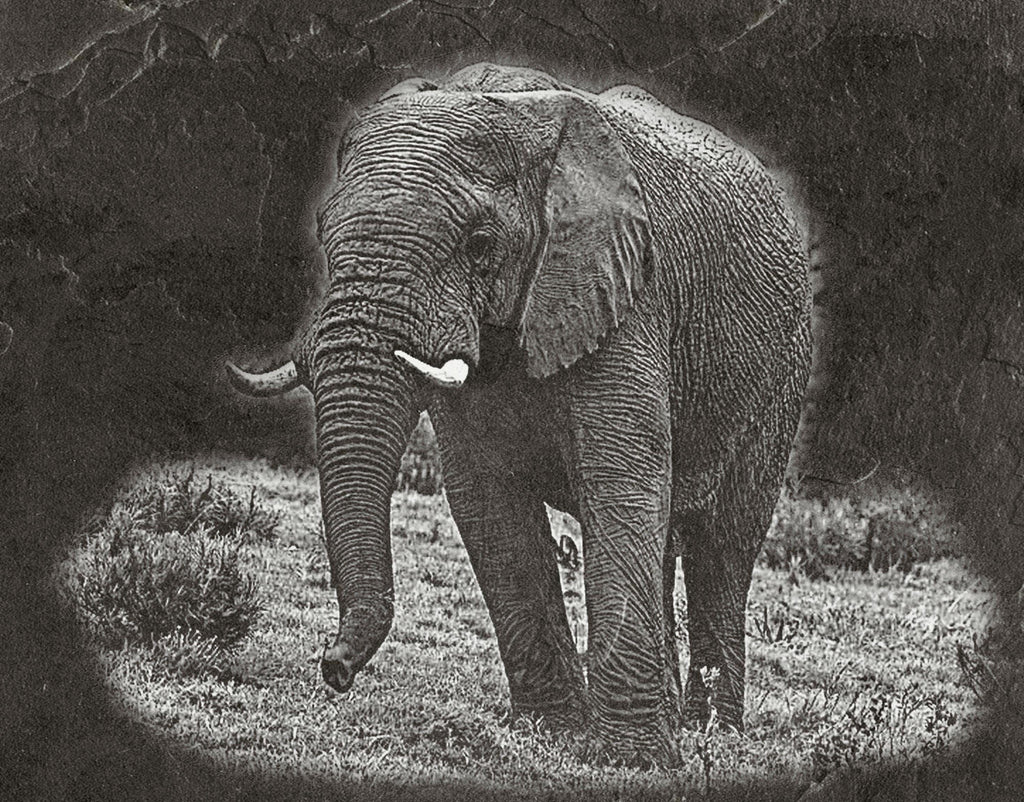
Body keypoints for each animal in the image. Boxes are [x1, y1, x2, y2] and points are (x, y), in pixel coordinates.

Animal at [228, 62, 812, 764]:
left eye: (480, 244)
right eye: (324, 231)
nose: (333, 670)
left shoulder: (627, 293)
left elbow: (620, 485)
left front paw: (633, 760)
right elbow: (489, 502)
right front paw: (553, 733)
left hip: (781, 369)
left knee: (723, 546)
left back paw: (710, 732)